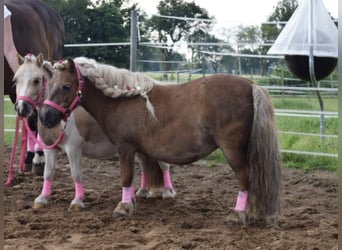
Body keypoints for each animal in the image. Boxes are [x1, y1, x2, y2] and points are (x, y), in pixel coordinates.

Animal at [12, 54, 176, 211]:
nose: (21, 107)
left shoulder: (73, 149)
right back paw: (142, 191)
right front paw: (42, 198)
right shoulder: (49, 149)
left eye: (37, 80)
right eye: (15, 80)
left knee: (164, 166)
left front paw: (77, 201)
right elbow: (48, 173)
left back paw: (168, 192)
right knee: (144, 165)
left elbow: (76, 174)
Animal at [38, 57, 282, 226]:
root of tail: (251, 84)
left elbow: (126, 177)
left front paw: (123, 207)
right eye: (48, 85)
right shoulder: (137, 150)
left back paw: (238, 214)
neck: (120, 99)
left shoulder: (125, 147)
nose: (45, 116)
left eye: (66, 86)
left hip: (232, 149)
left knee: (244, 178)